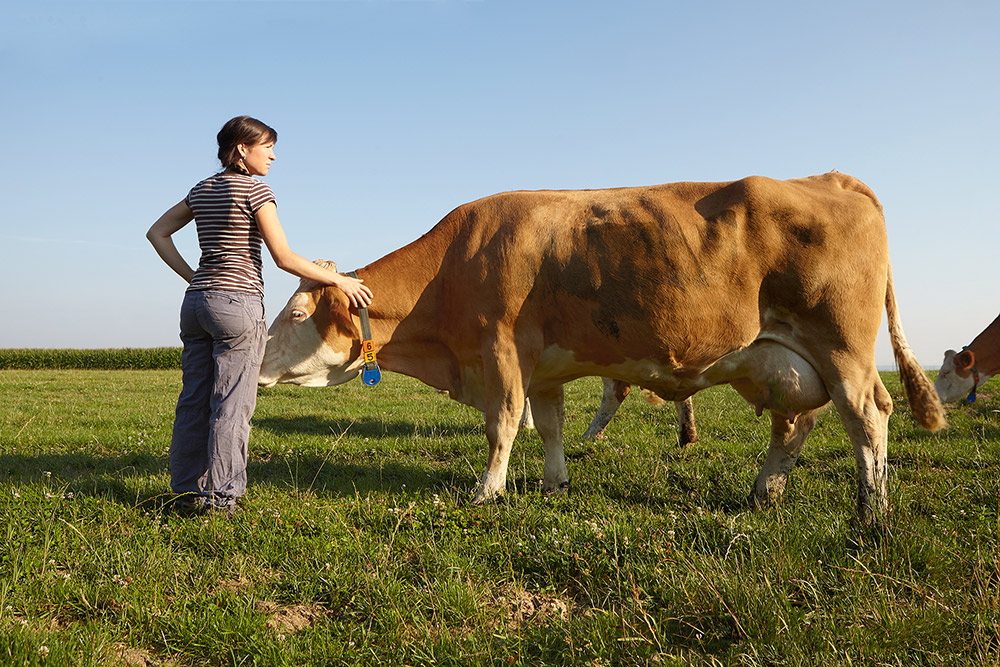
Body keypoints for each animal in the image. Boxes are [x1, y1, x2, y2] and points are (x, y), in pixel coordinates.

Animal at [260, 171, 944, 520]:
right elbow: (548, 425)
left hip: (842, 348)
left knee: (869, 415)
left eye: (294, 311)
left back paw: (872, 512)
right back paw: (763, 492)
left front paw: (487, 491)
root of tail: (830, 179)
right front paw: (554, 484)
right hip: (784, 361)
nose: (259, 370)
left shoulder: (500, 349)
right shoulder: (541, 367)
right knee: (796, 423)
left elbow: (502, 424)